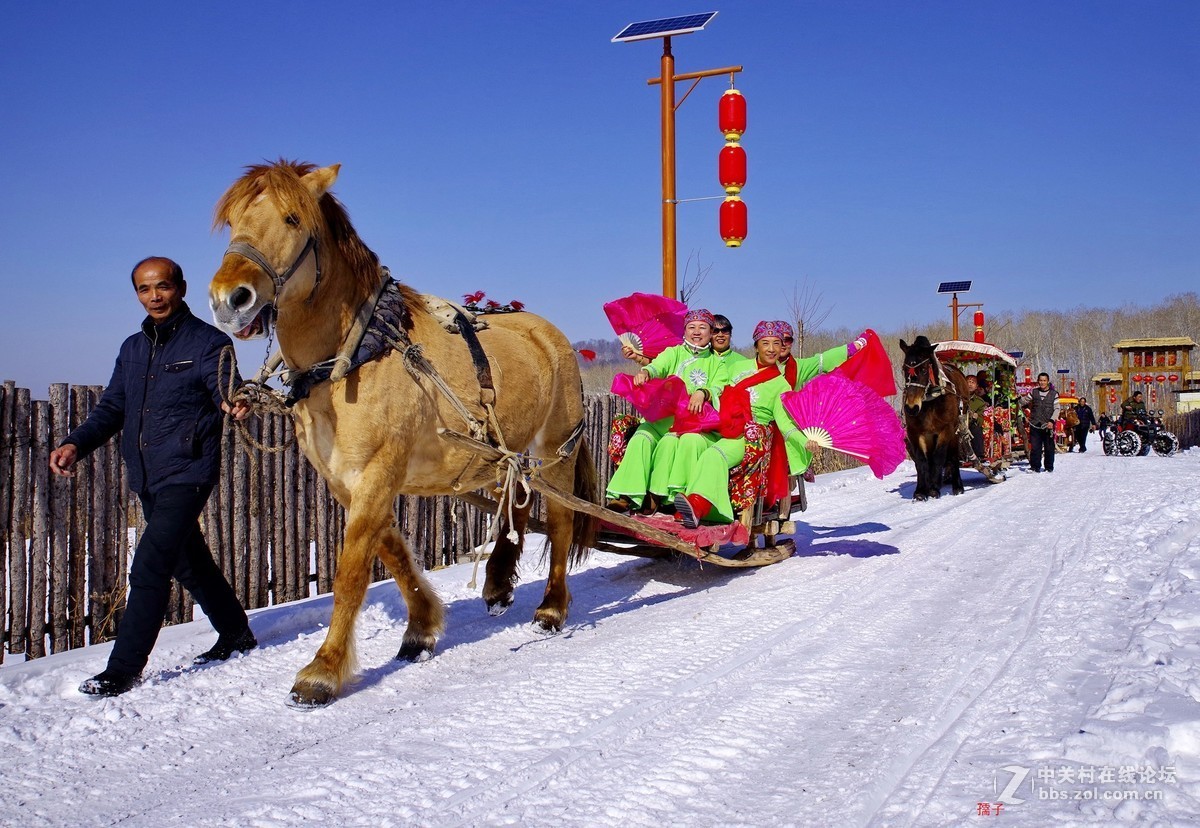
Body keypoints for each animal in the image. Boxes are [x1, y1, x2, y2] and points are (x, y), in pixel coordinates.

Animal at [211, 160, 600, 700]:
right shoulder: (347, 480)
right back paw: (499, 582)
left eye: (292, 218)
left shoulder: (378, 472)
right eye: (232, 222)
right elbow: (392, 552)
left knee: (560, 521)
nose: (230, 299)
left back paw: (551, 607)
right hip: (504, 451)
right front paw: (421, 629)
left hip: (555, 449)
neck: (354, 355)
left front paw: (323, 669)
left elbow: (352, 569)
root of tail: (551, 335)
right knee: (514, 505)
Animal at [897, 333, 969, 496]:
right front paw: (921, 491)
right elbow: (921, 460)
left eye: (924, 369)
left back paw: (957, 485)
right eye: (904, 368)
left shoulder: (946, 429)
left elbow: (939, 456)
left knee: (953, 457)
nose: (911, 408)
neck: (931, 401)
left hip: (956, 431)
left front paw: (934, 488)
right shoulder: (915, 432)